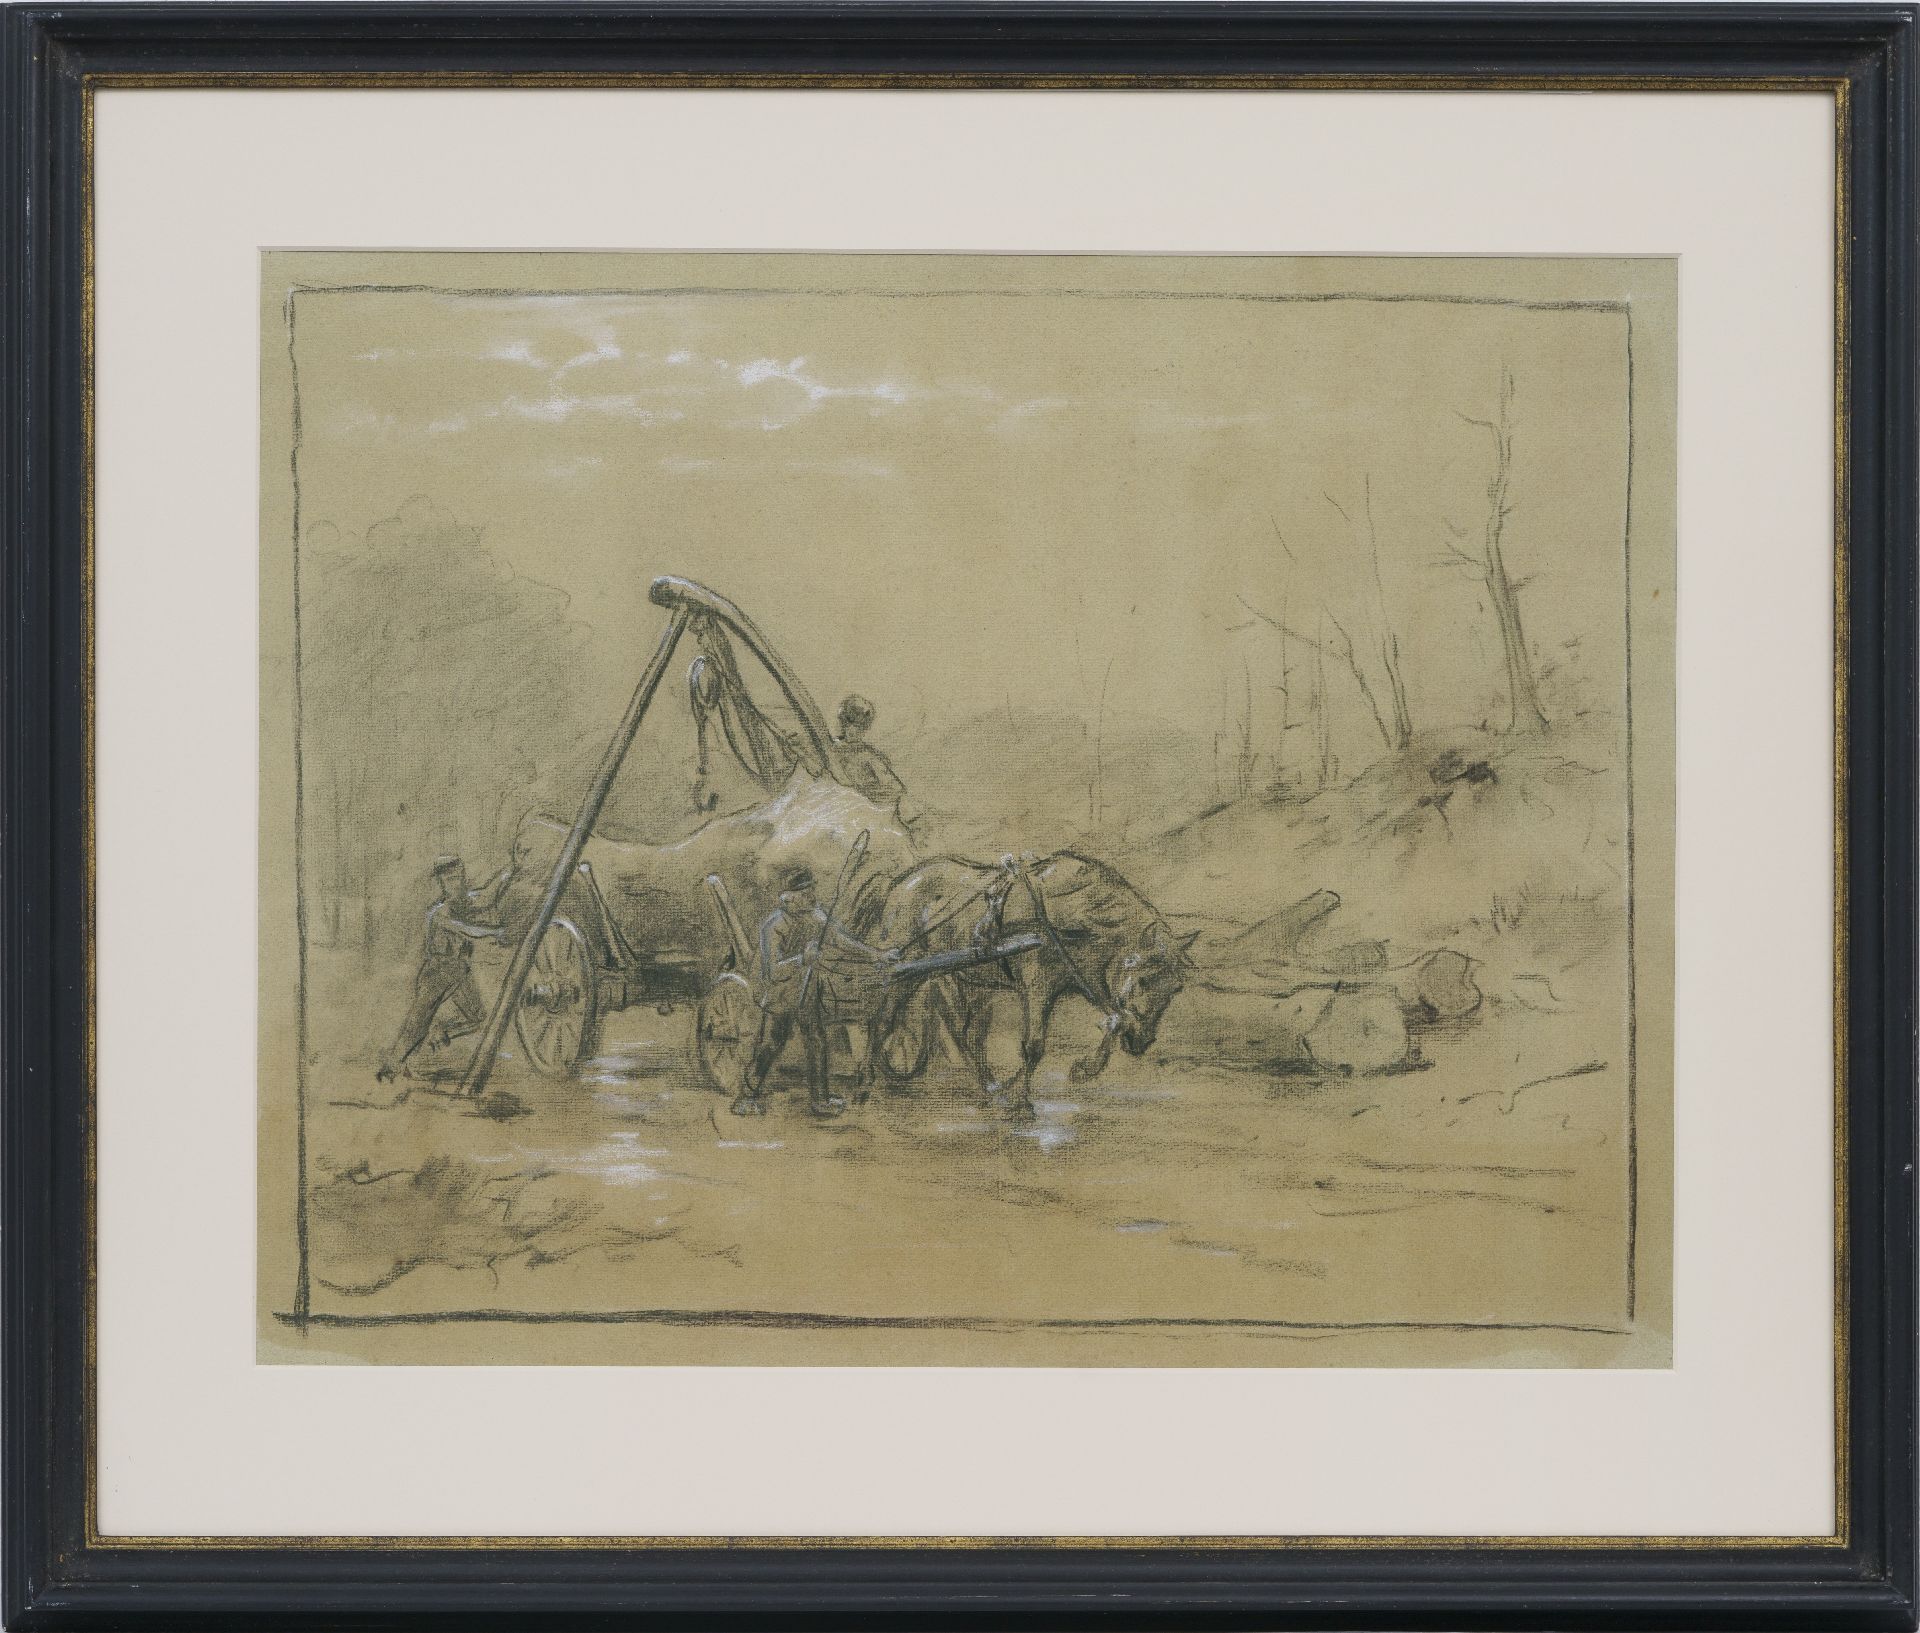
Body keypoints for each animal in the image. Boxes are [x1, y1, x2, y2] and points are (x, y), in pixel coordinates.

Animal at [867, 851, 1196, 1122]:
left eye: (1176, 988)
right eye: (1143, 980)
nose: (1143, 1042)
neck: (1068, 914)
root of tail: (902, 885)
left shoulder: (1089, 977)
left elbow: (1115, 1021)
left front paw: (1083, 1070)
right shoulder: (1037, 988)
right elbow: (1034, 1046)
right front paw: (1020, 1102)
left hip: (962, 976)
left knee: (965, 1031)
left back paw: (990, 1085)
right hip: (905, 968)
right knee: (884, 1017)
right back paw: (865, 1079)